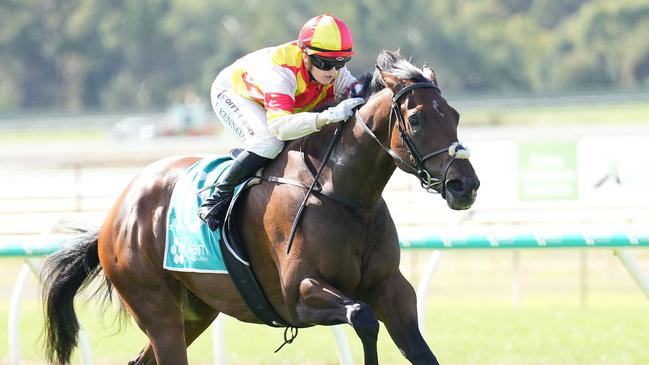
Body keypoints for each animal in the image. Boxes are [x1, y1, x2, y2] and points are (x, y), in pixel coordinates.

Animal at [40, 49, 476, 362]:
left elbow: (417, 347)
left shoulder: (390, 287)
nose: (465, 185)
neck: (342, 194)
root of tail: (116, 214)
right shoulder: (300, 293)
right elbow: (362, 318)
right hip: (156, 309)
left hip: (195, 312)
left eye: (455, 115)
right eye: (416, 120)